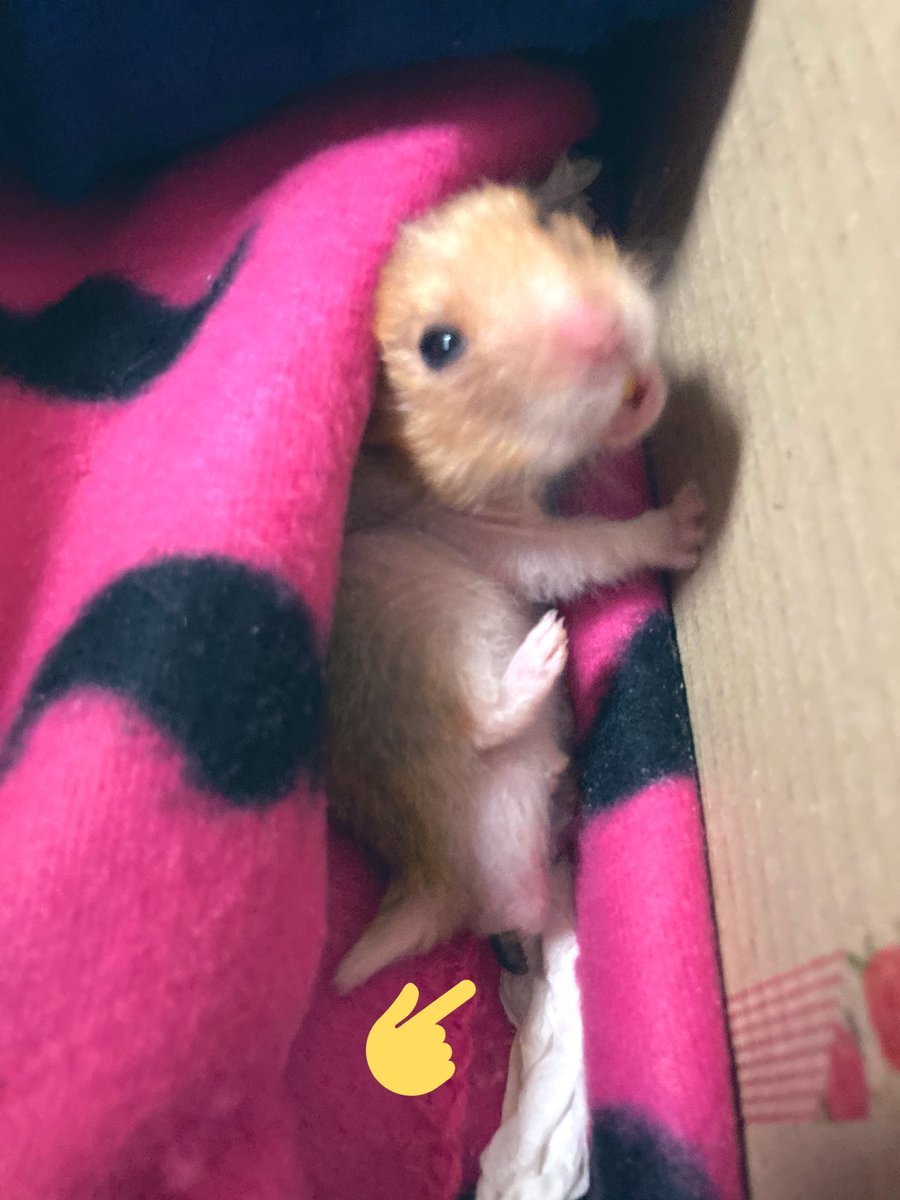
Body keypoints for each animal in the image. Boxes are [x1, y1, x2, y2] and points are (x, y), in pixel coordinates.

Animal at [327, 180, 705, 992]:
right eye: (439, 345)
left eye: (541, 220)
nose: (604, 327)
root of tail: (431, 882)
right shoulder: (500, 539)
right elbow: (587, 547)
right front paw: (688, 518)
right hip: (425, 609)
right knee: (476, 725)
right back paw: (543, 657)